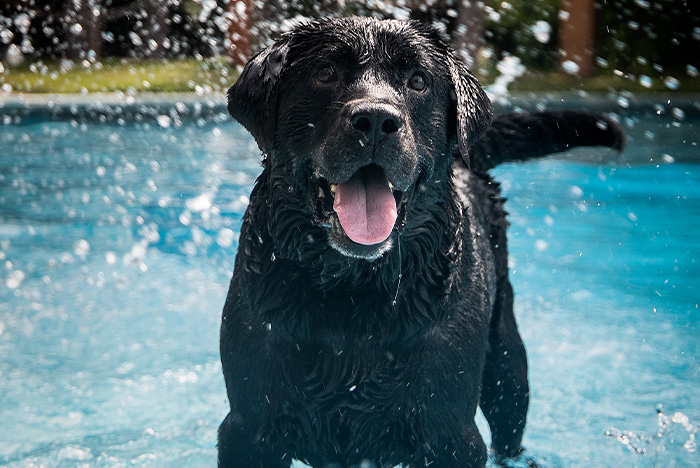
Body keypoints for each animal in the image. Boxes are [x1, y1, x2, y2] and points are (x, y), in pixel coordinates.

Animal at [219, 16, 624, 468]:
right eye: (325, 73)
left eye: (417, 81)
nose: (376, 120)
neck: (355, 291)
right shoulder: (248, 430)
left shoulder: (453, 437)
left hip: (506, 364)